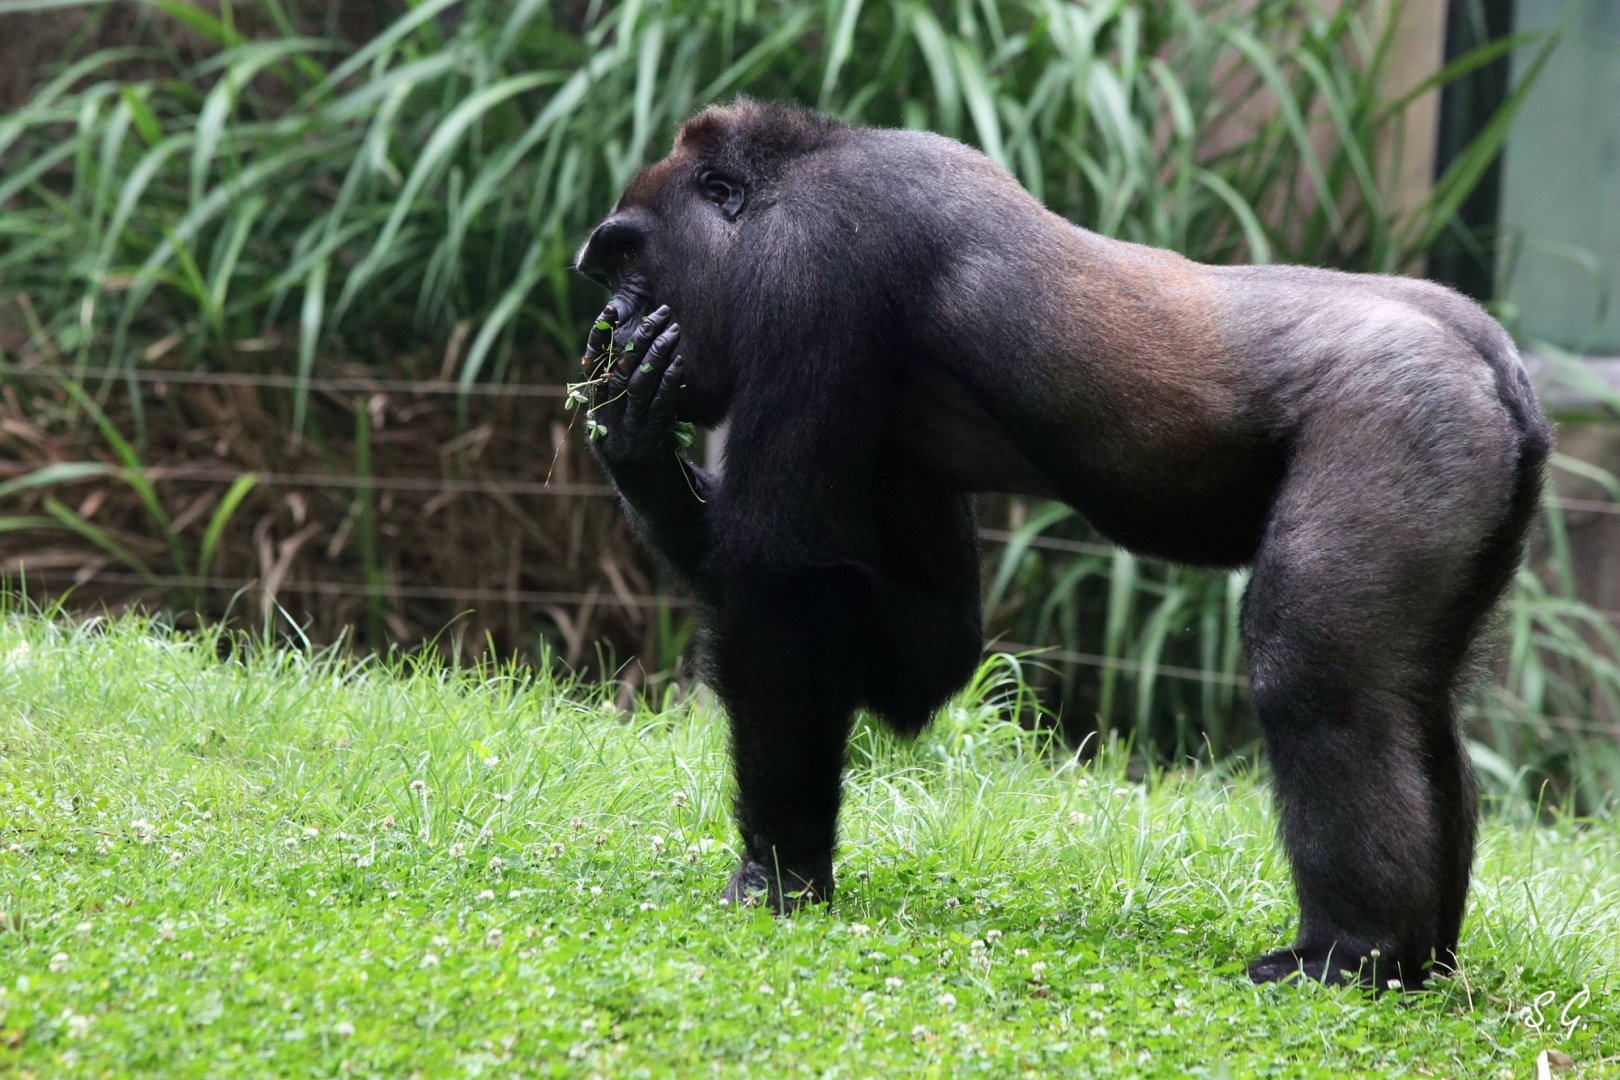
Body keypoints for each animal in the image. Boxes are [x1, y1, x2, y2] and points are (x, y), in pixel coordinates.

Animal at [572, 99, 1551, 989]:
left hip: (1403, 414)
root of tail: (1493, 359)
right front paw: (640, 452)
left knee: (1321, 676)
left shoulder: (808, 267)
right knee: (1415, 700)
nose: (611, 321)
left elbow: (788, 586)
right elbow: (925, 653)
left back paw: (1351, 946)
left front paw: (780, 865)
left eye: (627, 257)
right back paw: (1419, 957)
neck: (790, 174)